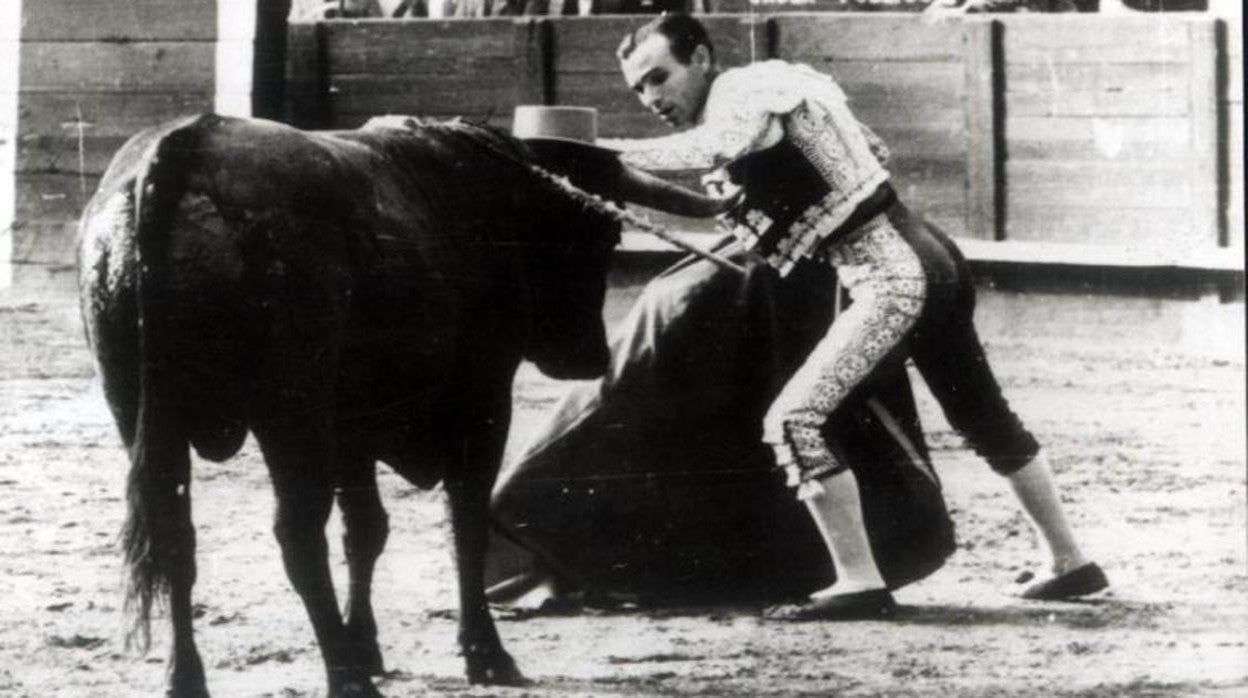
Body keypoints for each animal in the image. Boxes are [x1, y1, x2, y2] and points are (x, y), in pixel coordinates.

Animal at [78, 111, 728, 694]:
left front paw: (367, 645)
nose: (589, 356)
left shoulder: (351, 427)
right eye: (602, 235)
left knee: (175, 537)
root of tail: (185, 146)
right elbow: (465, 518)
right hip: (291, 414)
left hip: (136, 410)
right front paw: (483, 655)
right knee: (297, 533)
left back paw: (186, 678)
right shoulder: (481, 399)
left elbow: (366, 528)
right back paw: (344, 678)